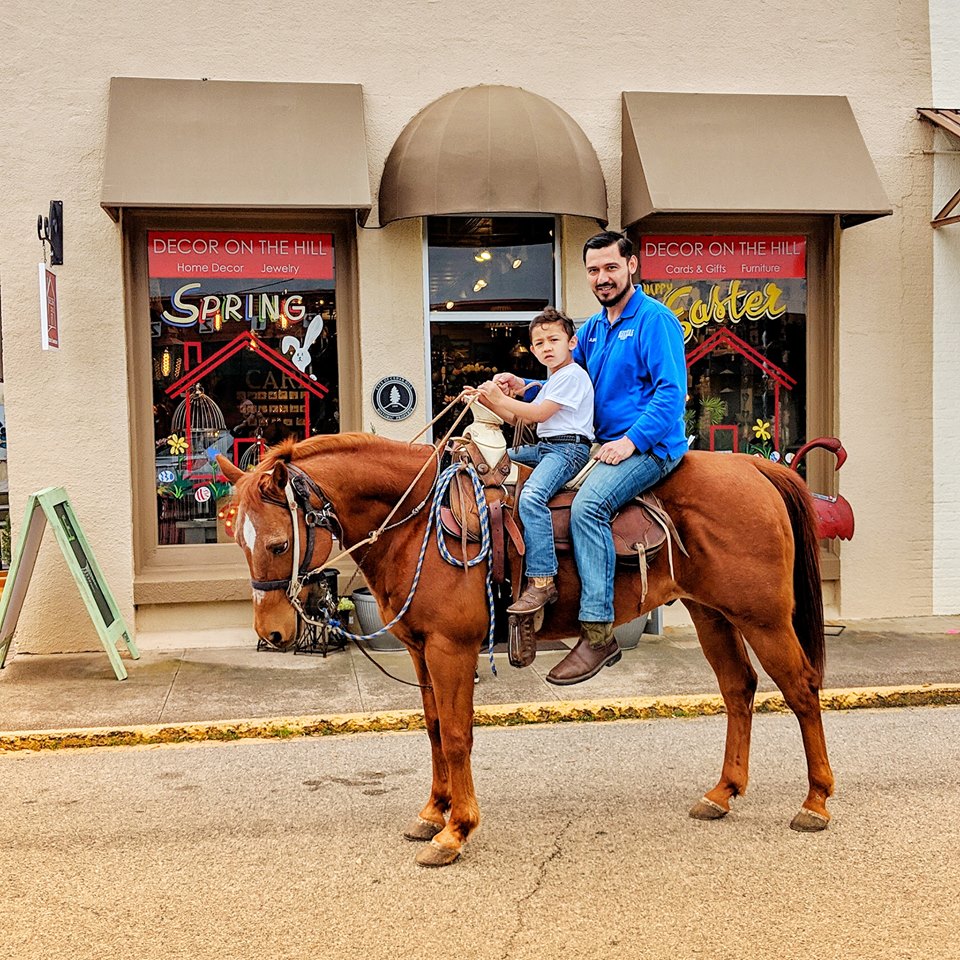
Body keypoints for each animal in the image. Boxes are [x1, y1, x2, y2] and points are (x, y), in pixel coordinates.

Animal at [218, 432, 832, 868]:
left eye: (279, 543)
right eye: (237, 542)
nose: (272, 633)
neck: (417, 523)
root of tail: (755, 466)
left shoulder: (451, 650)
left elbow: (458, 735)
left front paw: (456, 831)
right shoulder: (419, 650)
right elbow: (435, 731)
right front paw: (432, 812)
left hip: (763, 618)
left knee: (801, 691)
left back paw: (815, 802)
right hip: (712, 614)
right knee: (739, 689)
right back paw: (723, 793)